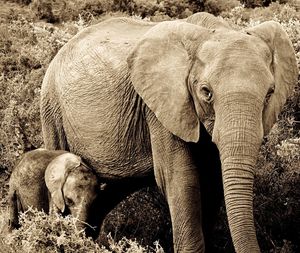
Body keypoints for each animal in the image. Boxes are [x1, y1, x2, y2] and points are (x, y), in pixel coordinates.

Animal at [40, 12, 298, 253]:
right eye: (206, 92)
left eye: (270, 93)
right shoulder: (161, 108)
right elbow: (182, 179)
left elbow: (213, 181)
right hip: (52, 107)